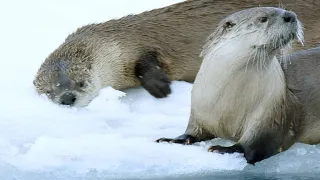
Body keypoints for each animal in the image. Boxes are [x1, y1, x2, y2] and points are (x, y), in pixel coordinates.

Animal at [157, 6, 308, 165]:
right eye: (263, 19)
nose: (291, 15)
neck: (228, 106)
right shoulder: (199, 110)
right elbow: (193, 131)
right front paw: (172, 140)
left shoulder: (271, 117)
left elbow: (255, 145)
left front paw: (224, 149)